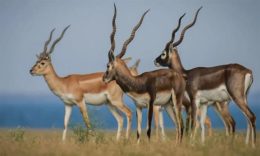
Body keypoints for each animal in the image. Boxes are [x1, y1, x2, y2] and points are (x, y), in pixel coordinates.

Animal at [102, 6, 186, 143]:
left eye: (108, 65)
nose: (104, 78)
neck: (139, 83)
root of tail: (179, 76)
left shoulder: (150, 104)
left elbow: (148, 130)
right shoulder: (139, 107)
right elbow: (138, 132)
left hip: (176, 102)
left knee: (181, 125)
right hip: (168, 105)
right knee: (177, 125)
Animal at [153, 7, 255, 146]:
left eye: (163, 53)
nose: (155, 61)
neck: (186, 74)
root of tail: (247, 70)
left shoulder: (193, 100)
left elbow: (193, 124)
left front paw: (190, 144)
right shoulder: (204, 103)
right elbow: (200, 124)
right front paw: (200, 144)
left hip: (235, 97)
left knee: (249, 117)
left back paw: (252, 145)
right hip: (244, 97)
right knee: (246, 119)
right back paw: (246, 144)